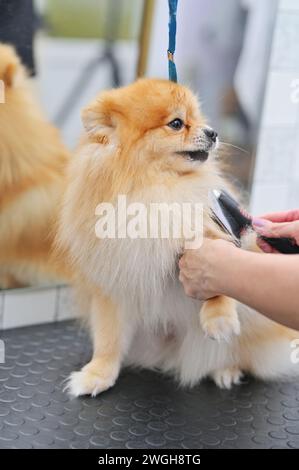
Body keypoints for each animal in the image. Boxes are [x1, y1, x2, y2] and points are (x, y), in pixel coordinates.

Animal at [58, 79, 299, 394]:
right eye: (176, 123)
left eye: (198, 118)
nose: (213, 132)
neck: (154, 187)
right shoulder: (112, 283)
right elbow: (108, 339)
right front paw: (98, 374)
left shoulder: (211, 231)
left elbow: (219, 277)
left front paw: (219, 318)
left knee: (238, 352)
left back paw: (226, 370)